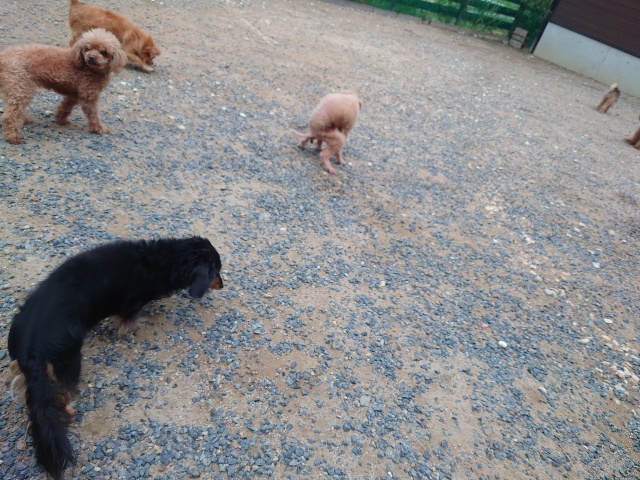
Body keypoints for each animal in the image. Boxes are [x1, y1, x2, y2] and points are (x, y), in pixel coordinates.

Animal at [6, 237, 223, 479]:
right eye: (217, 271)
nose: (223, 285)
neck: (162, 260)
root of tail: (31, 345)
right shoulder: (132, 303)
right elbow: (130, 319)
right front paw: (131, 328)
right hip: (69, 361)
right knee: (62, 392)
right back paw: (69, 409)